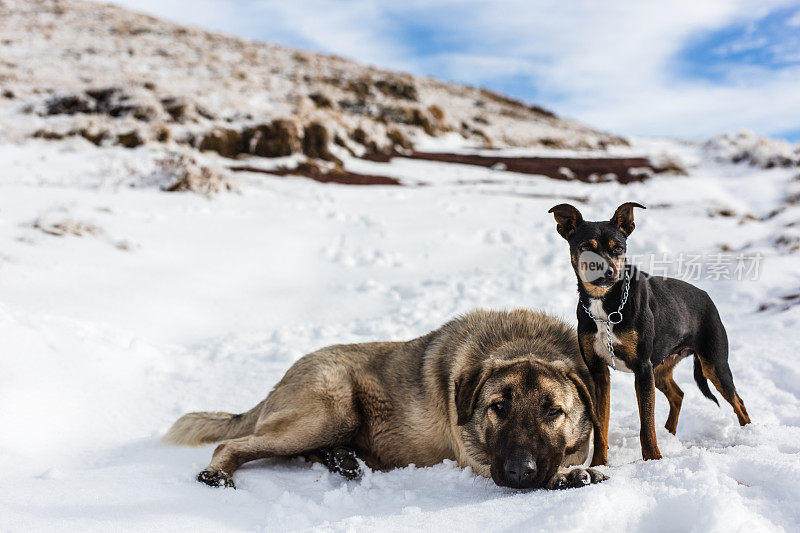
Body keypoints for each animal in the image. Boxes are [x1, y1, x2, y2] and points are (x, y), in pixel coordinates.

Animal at [166, 310, 608, 488]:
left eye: (554, 411)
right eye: (498, 407)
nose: (519, 471)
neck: (525, 342)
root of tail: (281, 379)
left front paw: (575, 471)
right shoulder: (475, 459)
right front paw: (569, 476)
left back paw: (344, 461)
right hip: (330, 411)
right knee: (233, 444)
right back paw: (216, 474)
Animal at [552, 202, 752, 464]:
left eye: (618, 248)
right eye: (586, 247)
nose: (608, 272)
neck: (605, 306)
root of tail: (707, 297)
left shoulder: (642, 368)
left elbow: (646, 423)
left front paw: (653, 460)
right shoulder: (598, 372)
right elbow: (601, 424)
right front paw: (599, 463)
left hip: (713, 364)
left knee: (738, 401)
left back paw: (749, 434)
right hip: (661, 368)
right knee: (678, 395)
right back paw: (669, 433)